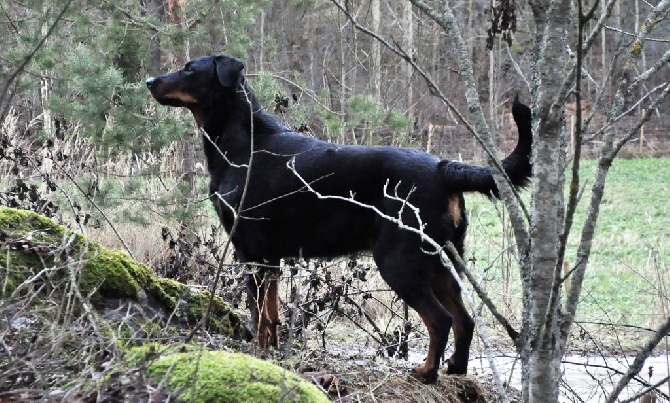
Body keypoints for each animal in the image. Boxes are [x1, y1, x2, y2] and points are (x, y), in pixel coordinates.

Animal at [148, 54, 536, 386]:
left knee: (441, 319)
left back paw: (426, 372)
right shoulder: (270, 257)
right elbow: (272, 314)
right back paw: (455, 367)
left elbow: (257, 313)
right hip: (442, 258)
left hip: (401, 261)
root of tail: (444, 170)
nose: (149, 81)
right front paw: (271, 351)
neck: (241, 142)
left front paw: (256, 354)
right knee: (465, 319)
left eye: (188, 68)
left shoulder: (249, 252)